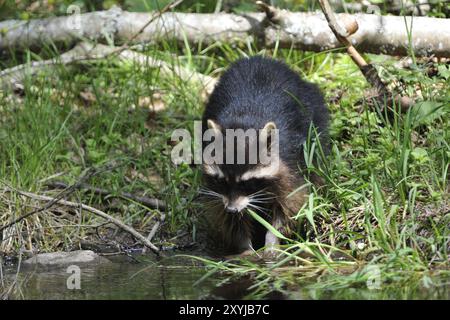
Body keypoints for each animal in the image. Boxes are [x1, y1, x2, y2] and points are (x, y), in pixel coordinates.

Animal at [202, 56, 328, 258]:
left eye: (246, 183)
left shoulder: (290, 165)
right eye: (222, 181)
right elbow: (228, 218)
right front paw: (244, 246)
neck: (244, 124)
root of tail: (260, 58)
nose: (232, 209)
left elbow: (289, 206)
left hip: (314, 114)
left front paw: (272, 241)